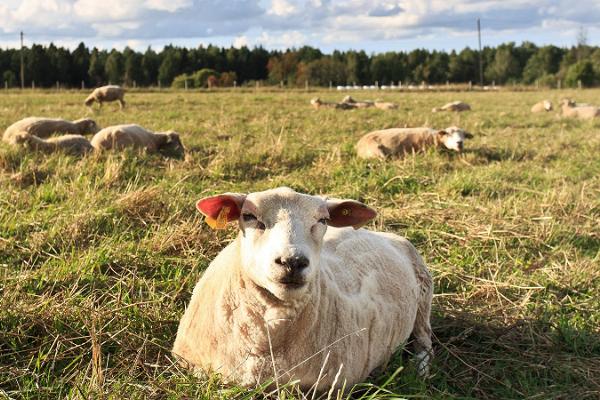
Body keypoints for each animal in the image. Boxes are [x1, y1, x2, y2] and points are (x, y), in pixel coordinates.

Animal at [171, 187, 434, 390]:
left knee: (425, 341)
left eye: (323, 220)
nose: (292, 262)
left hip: (424, 296)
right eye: (248, 215)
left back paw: (419, 372)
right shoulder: (191, 364)